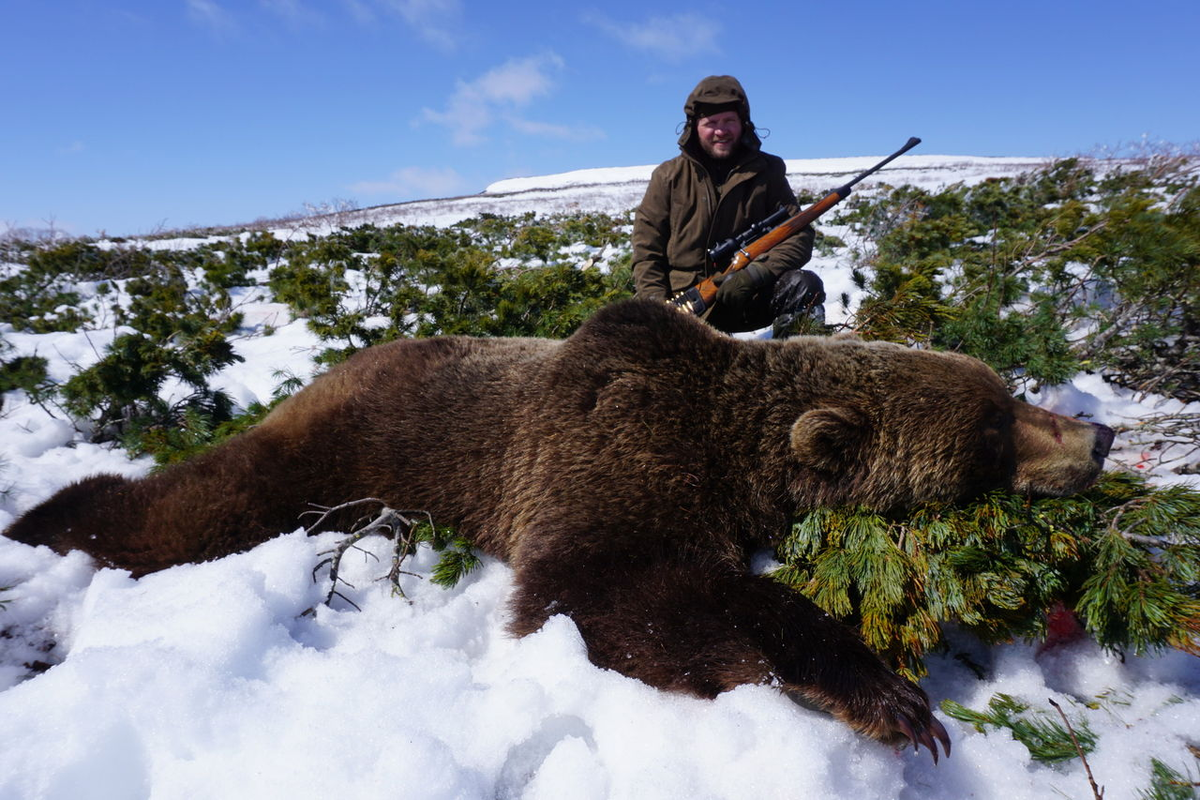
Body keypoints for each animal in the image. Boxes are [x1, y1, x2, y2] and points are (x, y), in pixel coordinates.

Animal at [2, 297, 1113, 762]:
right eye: (992, 426)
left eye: (1006, 397)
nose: (1097, 434)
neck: (730, 439)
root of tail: (338, 366)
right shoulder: (613, 453)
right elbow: (603, 590)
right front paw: (891, 699)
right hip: (349, 449)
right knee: (196, 504)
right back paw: (45, 514)